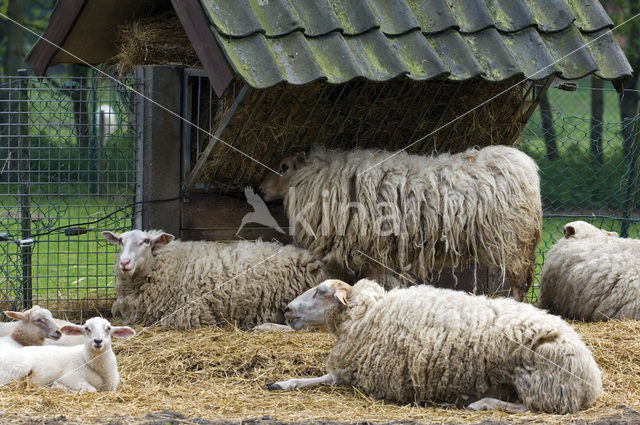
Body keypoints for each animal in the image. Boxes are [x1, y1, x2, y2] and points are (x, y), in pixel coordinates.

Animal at [0, 314, 135, 390]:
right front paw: (58, 386)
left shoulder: (112, 386)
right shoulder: (71, 376)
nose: (98, 341)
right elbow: (91, 389)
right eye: (86, 328)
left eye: (108, 328)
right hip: (17, 368)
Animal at [104, 230, 330, 330]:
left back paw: (263, 327)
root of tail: (314, 263)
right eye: (121, 241)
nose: (124, 262)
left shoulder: (188, 314)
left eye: (146, 242)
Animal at [258, 146, 544, 302]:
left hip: (511, 241)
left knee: (519, 283)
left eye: (284, 166)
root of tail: (526, 166)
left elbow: (369, 280)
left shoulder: (371, 247)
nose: (259, 190)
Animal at [268, 278, 600, 414]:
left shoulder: (359, 371)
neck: (367, 313)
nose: (287, 309)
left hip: (542, 382)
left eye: (321, 291)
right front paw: (281, 383)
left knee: (532, 408)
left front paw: (284, 383)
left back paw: (481, 403)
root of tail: (592, 380)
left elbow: (323, 378)